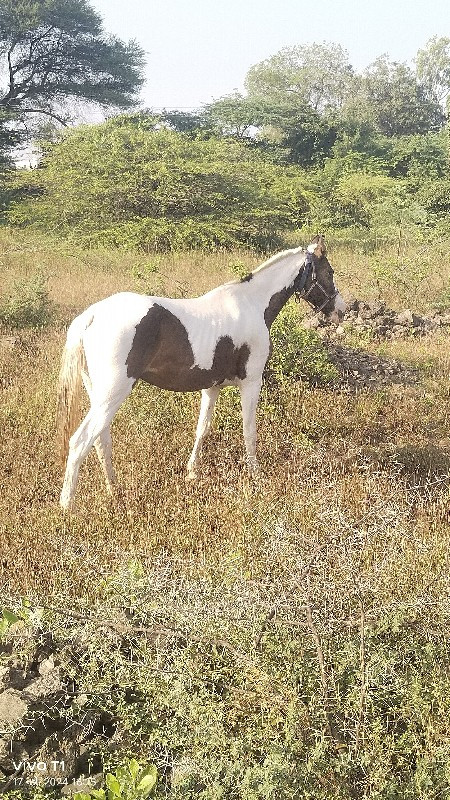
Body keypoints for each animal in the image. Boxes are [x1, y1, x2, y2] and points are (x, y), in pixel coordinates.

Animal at [56, 234, 344, 510]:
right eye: (329, 272)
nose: (340, 311)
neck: (252, 304)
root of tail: (91, 316)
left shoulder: (212, 386)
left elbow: (202, 428)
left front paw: (192, 472)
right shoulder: (251, 382)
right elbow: (249, 429)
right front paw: (255, 473)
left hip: (99, 395)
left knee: (100, 440)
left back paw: (113, 488)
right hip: (112, 394)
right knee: (80, 441)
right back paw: (68, 506)